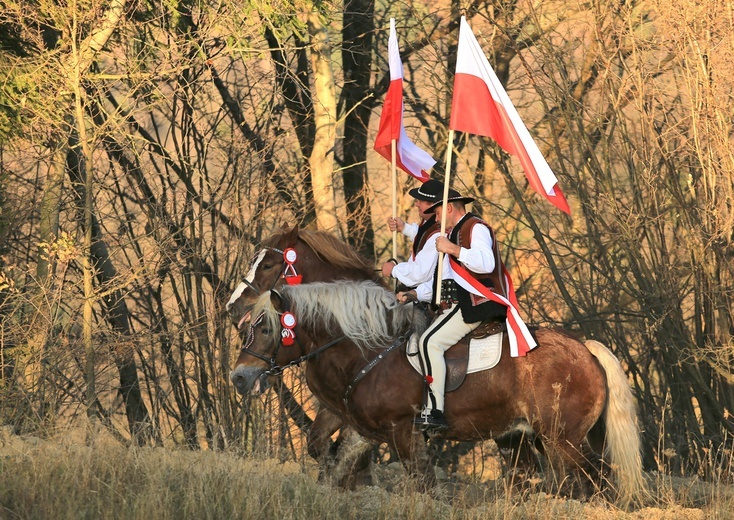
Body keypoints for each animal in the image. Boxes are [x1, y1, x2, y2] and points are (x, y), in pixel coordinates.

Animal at [231, 280, 648, 504]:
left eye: (266, 329)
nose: (239, 377)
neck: (369, 350)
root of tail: (584, 348)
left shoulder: (403, 430)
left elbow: (422, 484)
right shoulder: (366, 432)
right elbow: (338, 465)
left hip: (562, 438)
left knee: (595, 478)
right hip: (533, 437)